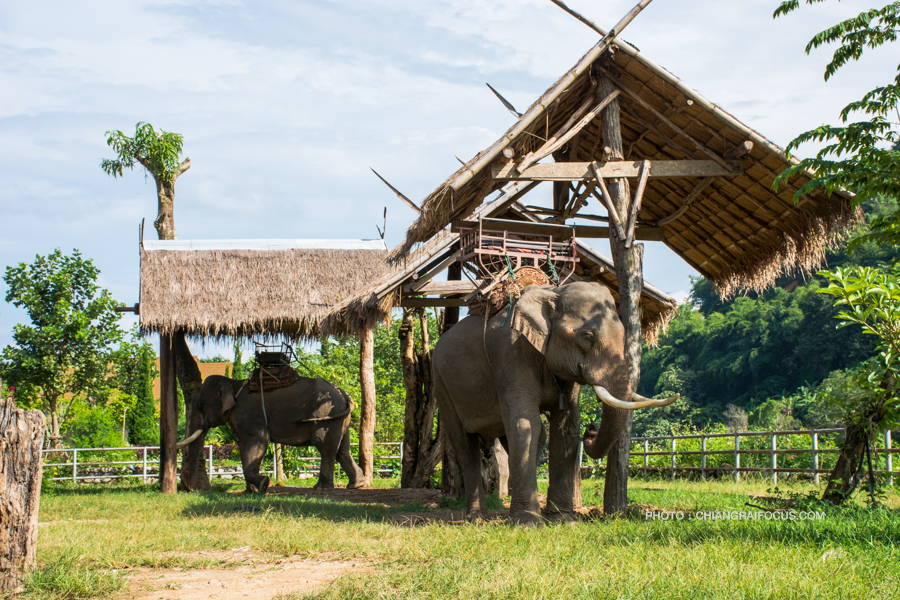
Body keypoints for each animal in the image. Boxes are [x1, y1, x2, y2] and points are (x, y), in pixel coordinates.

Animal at [178, 376, 364, 492]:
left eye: (200, 405)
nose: (189, 488)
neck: (233, 383)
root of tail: (343, 394)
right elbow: (244, 447)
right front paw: (251, 490)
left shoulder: (249, 414)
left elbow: (258, 442)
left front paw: (263, 485)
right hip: (340, 419)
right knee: (342, 450)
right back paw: (356, 485)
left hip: (325, 419)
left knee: (326, 448)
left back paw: (321, 488)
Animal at [434, 282, 676, 524]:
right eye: (588, 336)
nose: (592, 429)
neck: (552, 293)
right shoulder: (510, 354)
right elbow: (525, 423)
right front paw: (528, 523)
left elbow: (566, 426)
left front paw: (563, 520)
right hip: (442, 387)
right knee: (464, 445)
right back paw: (477, 519)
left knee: (525, 437)